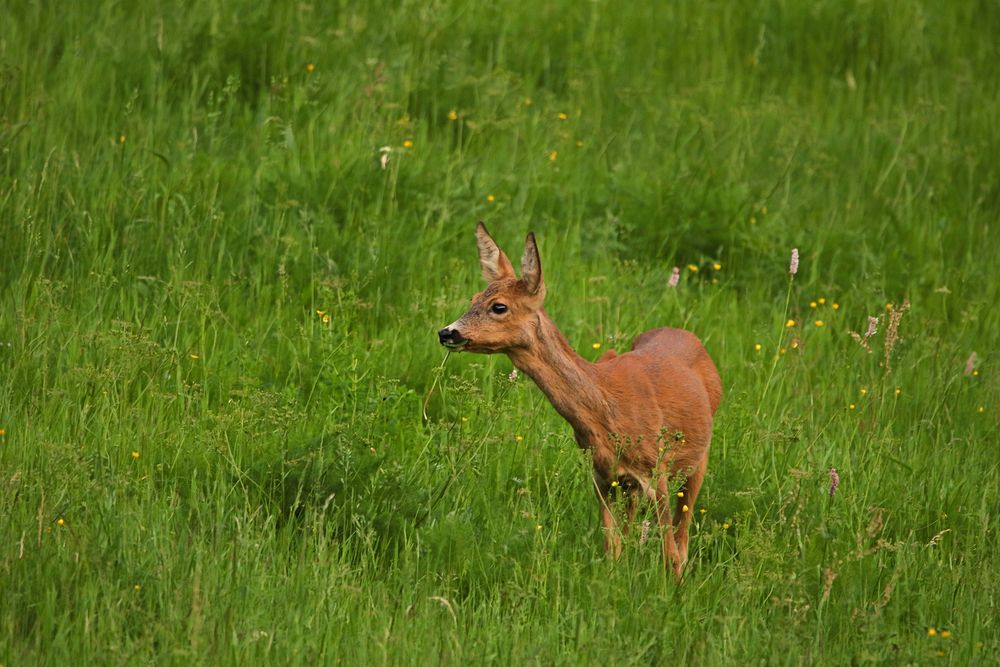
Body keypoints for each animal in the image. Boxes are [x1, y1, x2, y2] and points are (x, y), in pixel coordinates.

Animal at [438, 223, 720, 580]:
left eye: (499, 306)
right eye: (474, 298)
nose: (447, 332)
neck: (606, 410)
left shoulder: (656, 467)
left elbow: (670, 553)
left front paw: (674, 591)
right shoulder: (601, 474)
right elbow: (611, 548)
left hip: (699, 460)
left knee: (682, 539)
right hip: (630, 486)